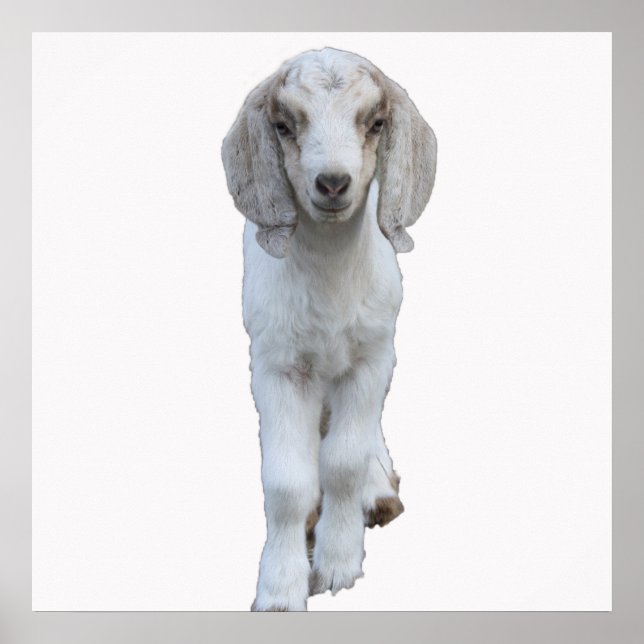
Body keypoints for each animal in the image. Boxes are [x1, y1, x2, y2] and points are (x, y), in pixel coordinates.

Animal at [221, 47, 437, 611]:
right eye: (283, 125)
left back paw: (379, 487)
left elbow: (342, 461)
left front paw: (338, 562)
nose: (333, 184)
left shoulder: (372, 358)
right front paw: (280, 587)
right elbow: (286, 483)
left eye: (376, 122)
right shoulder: (277, 367)